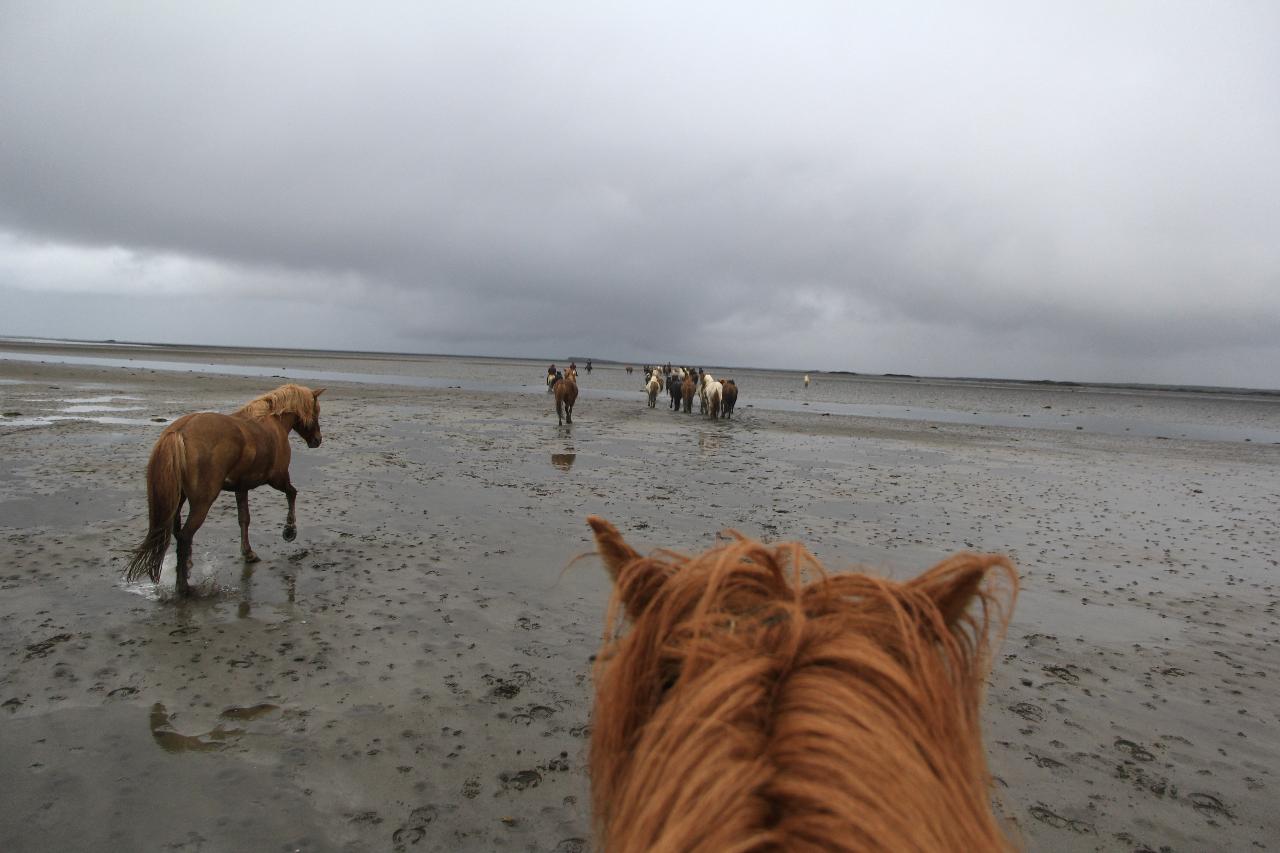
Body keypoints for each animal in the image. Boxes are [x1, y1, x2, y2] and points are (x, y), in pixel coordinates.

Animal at [126, 381, 325, 594]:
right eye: (316, 411)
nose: (317, 440)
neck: (272, 422)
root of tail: (180, 431)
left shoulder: (242, 487)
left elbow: (244, 519)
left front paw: (248, 552)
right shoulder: (278, 478)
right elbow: (292, 494)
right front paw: (289, 531)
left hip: (178, 499)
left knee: (177, 531)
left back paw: (186, 568)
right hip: (202, 503)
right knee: (185, 536)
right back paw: (183, 586)